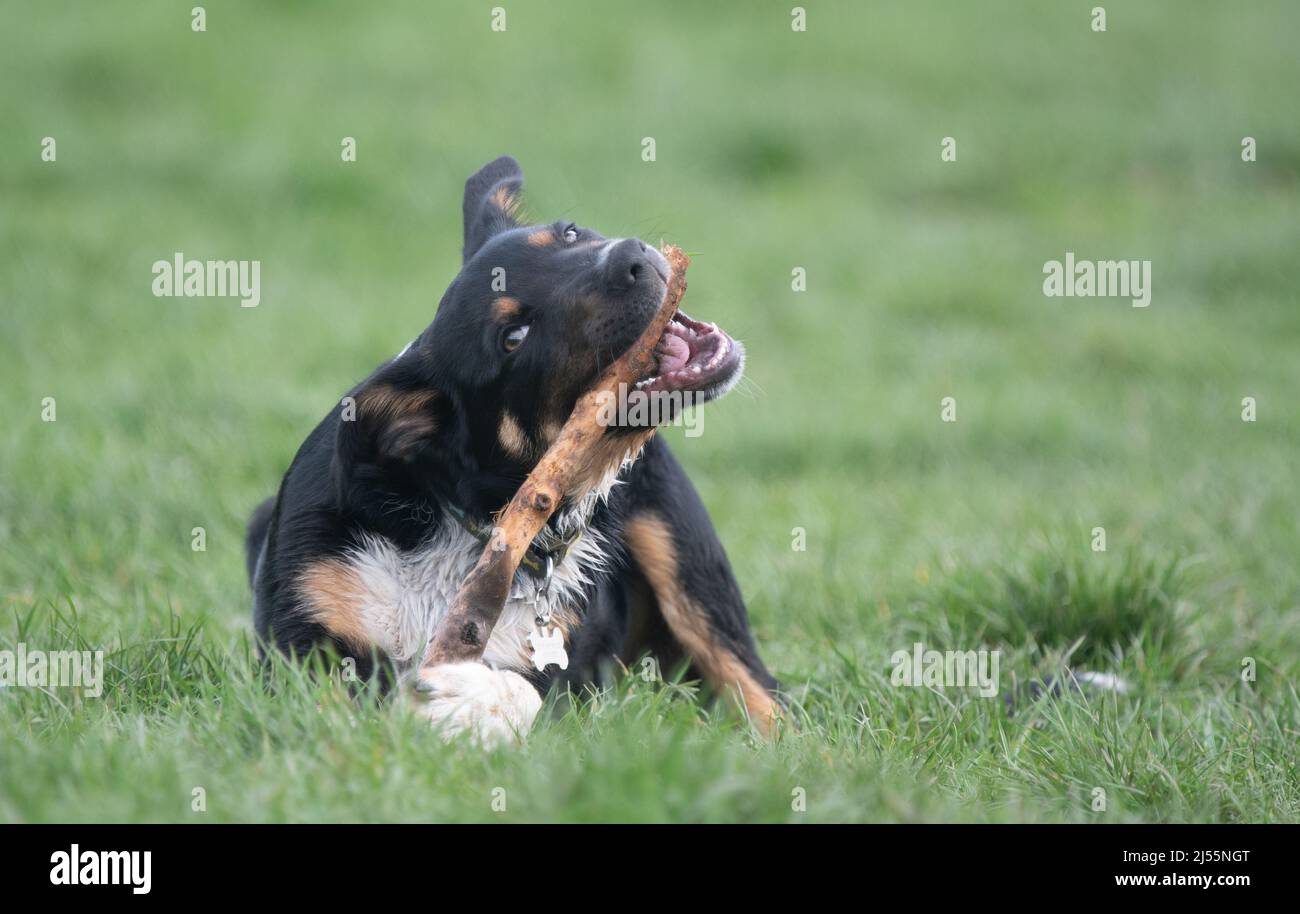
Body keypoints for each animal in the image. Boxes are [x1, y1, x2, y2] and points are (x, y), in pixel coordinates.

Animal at [245, 155, 780, 743]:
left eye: (569, 233)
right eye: (514, 336)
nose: (633, 257)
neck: (465, 526)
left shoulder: (567, 680)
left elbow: (523, 692)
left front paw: (467, 698)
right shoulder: (300, 648)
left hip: (684, 556)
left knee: (763, 691)